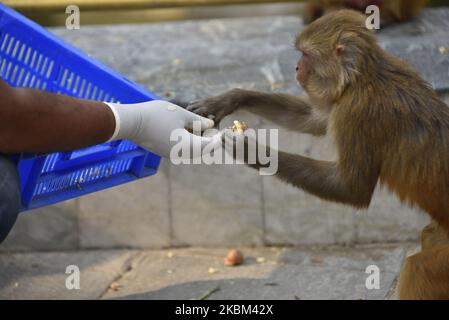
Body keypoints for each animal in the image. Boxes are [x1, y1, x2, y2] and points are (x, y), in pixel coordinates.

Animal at [187, 10, 448, 300]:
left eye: (306, 55)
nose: (296, 68)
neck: (362, 77)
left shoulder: (356, 113)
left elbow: (352, 189)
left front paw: (251, 151)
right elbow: (312, 120)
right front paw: (230, 98)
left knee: (419, 268)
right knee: (428, 237)